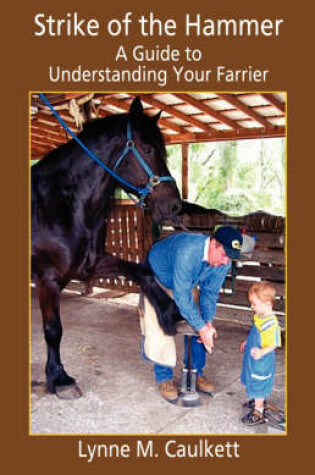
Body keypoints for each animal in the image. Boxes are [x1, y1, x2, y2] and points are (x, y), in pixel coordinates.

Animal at [31, 96, 183, 398]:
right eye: (148, 148)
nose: (174, 206)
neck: (61, 204)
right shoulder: (47, 279)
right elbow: (53, 329)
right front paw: (59, 378)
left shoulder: (91, 264)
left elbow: (142, 271)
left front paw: (168, 312)